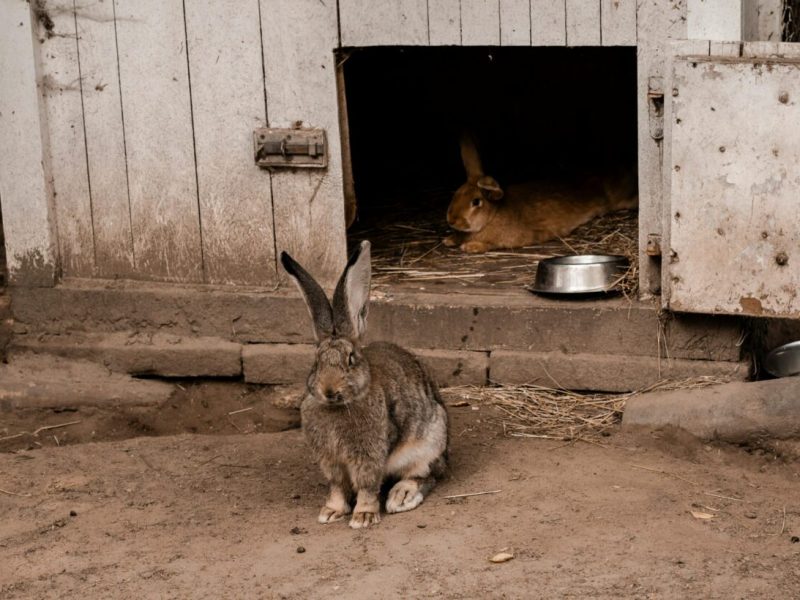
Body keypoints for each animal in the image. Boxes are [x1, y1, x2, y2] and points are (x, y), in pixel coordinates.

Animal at [280, 240, 449, 529]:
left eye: (351, 359)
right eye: (316, 362)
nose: (328, 390)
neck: (341, 406)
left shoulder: (368, 457)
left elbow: (367, 485)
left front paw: (364, 516)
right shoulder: (331, 461)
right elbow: (337, 486)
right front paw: (331, 511)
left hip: (428, 443)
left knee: (427, 475)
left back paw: (402, 496)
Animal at [443, 133, 639, 253]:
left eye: (476, 202)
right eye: (456, 193)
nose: (451, 220)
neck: (492, 216)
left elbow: (491, 244)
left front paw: (471, 246)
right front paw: (449, 240)